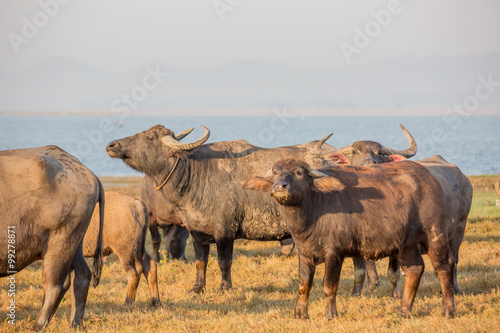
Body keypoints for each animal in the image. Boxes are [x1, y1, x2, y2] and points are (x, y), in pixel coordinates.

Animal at [0, 145, 103, 330]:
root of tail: (87, 172)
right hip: (75, 240)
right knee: (82, 275)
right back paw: (74, 323)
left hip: (60, 242)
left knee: (55, 285)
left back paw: (38, 325)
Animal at [244, 158, 456, 320]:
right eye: (275, 172)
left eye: (299, 172)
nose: (280, 186)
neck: (313, 210)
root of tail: (431, 179)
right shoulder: (304, 253)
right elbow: (303, 285)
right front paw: (300, 314)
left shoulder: (334, 253)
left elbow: (329, 286)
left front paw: (330, 314)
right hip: (406, 244)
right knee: (414, 269)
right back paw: (404, 311)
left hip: (435, 235)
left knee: (444, 268)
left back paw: (448, 310)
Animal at [316, 126, 472, 294]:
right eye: (354, 152)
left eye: (380, 152)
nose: (368, 162)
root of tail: (464, 178)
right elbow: (359, 272)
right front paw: (356, 294)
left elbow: (392, 272)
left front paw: (396, 295)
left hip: (458, 231)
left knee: (454, 260)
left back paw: (454, 289)